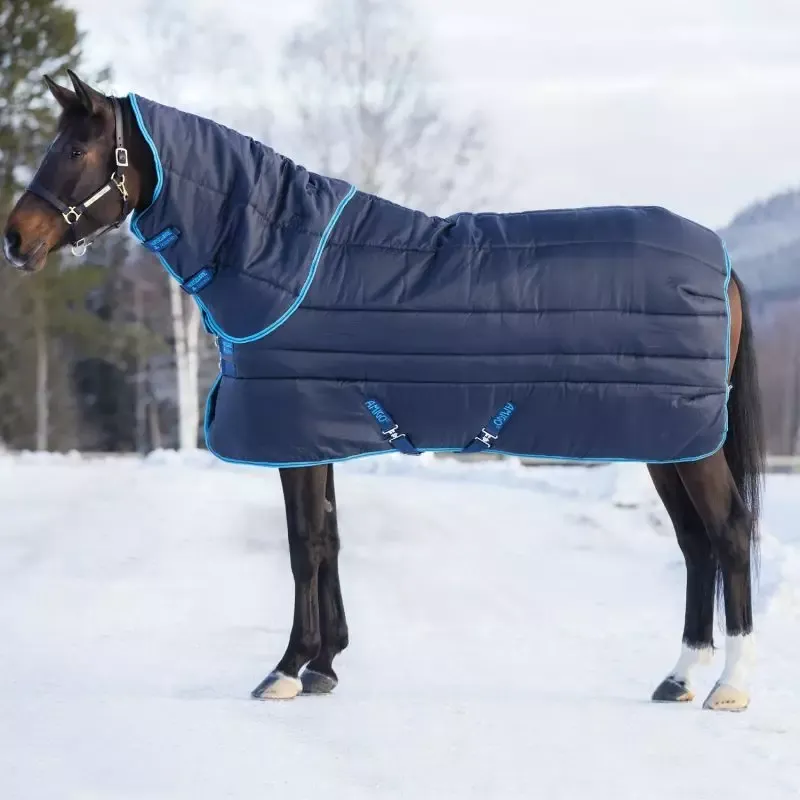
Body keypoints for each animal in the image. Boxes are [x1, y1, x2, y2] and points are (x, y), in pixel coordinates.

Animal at [3, 71, 765, 710]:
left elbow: (304, 543)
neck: (281, 257)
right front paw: (325, 665)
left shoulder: (295, 429)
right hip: (669, 440)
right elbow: (331, 539)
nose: (14, 238)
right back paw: (679, 677)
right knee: (695, 542)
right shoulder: (318, 431)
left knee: (728, 532)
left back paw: (730, 685)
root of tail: (724, 264)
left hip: (691, 445)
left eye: (76, 149)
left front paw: (288, 668)